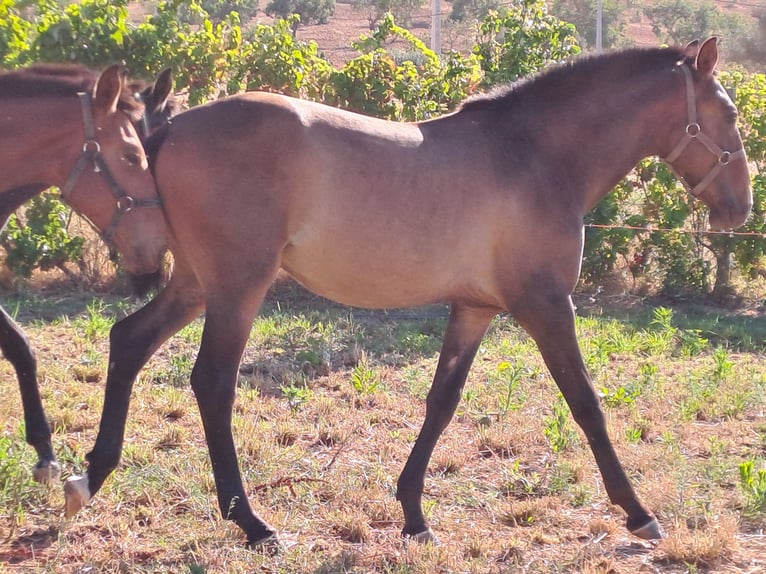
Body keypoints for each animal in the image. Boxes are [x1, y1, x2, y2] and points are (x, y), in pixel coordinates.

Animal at [64, 38, 752, 548]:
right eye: (731, 115)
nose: (740, 209)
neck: (535, 154)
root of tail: (171, 129)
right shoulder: (546, 305)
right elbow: (586, 403)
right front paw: (638, 513)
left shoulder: (475, 309)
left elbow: (441, 402)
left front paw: (414, 515)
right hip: (237, 287)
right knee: (211, 382)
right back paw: (252, 523)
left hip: (197, 285)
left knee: (128, 340)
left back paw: (90, 476)